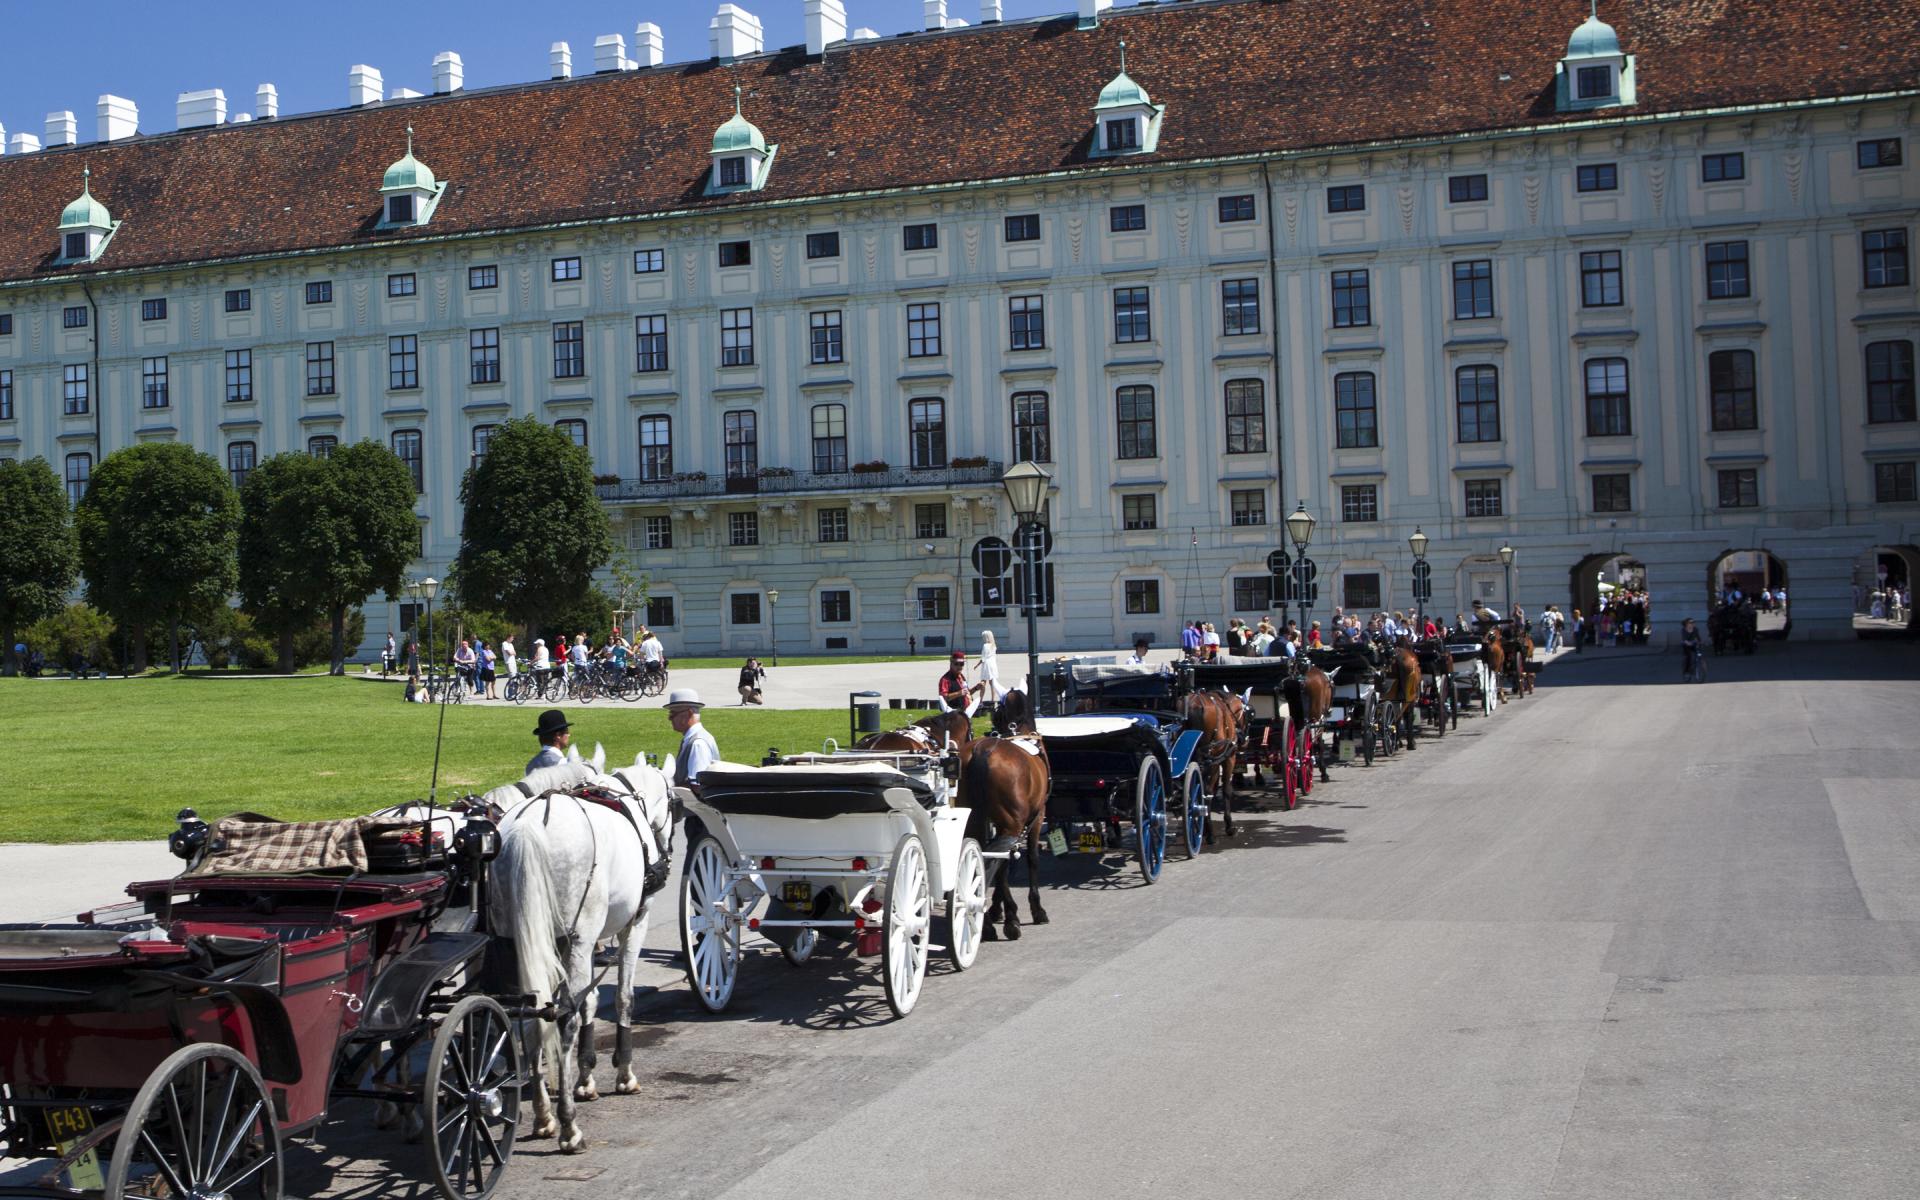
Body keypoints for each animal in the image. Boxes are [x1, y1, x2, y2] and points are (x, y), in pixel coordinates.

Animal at [480, 744, 675, 1144]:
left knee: (530, 1017)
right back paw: (568, 1124)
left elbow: (589, 1001)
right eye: (676, 803)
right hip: (578, 937)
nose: (666, 854)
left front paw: (585, 1077)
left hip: (517, 940)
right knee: (563, 1020)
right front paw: (622, 1073)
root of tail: (529, 827)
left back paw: (543, 1115)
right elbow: (622, 997)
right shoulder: (632, 923)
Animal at [956, 687, 1052, 940]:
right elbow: (1032, 859)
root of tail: (982, 751)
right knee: (998, 860)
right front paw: (1036, 909)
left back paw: (987, 920)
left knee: (984, 857)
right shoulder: (1037, 817)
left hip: (975, 821)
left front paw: (994, 909)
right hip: (1013, 824)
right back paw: (1010, 919)